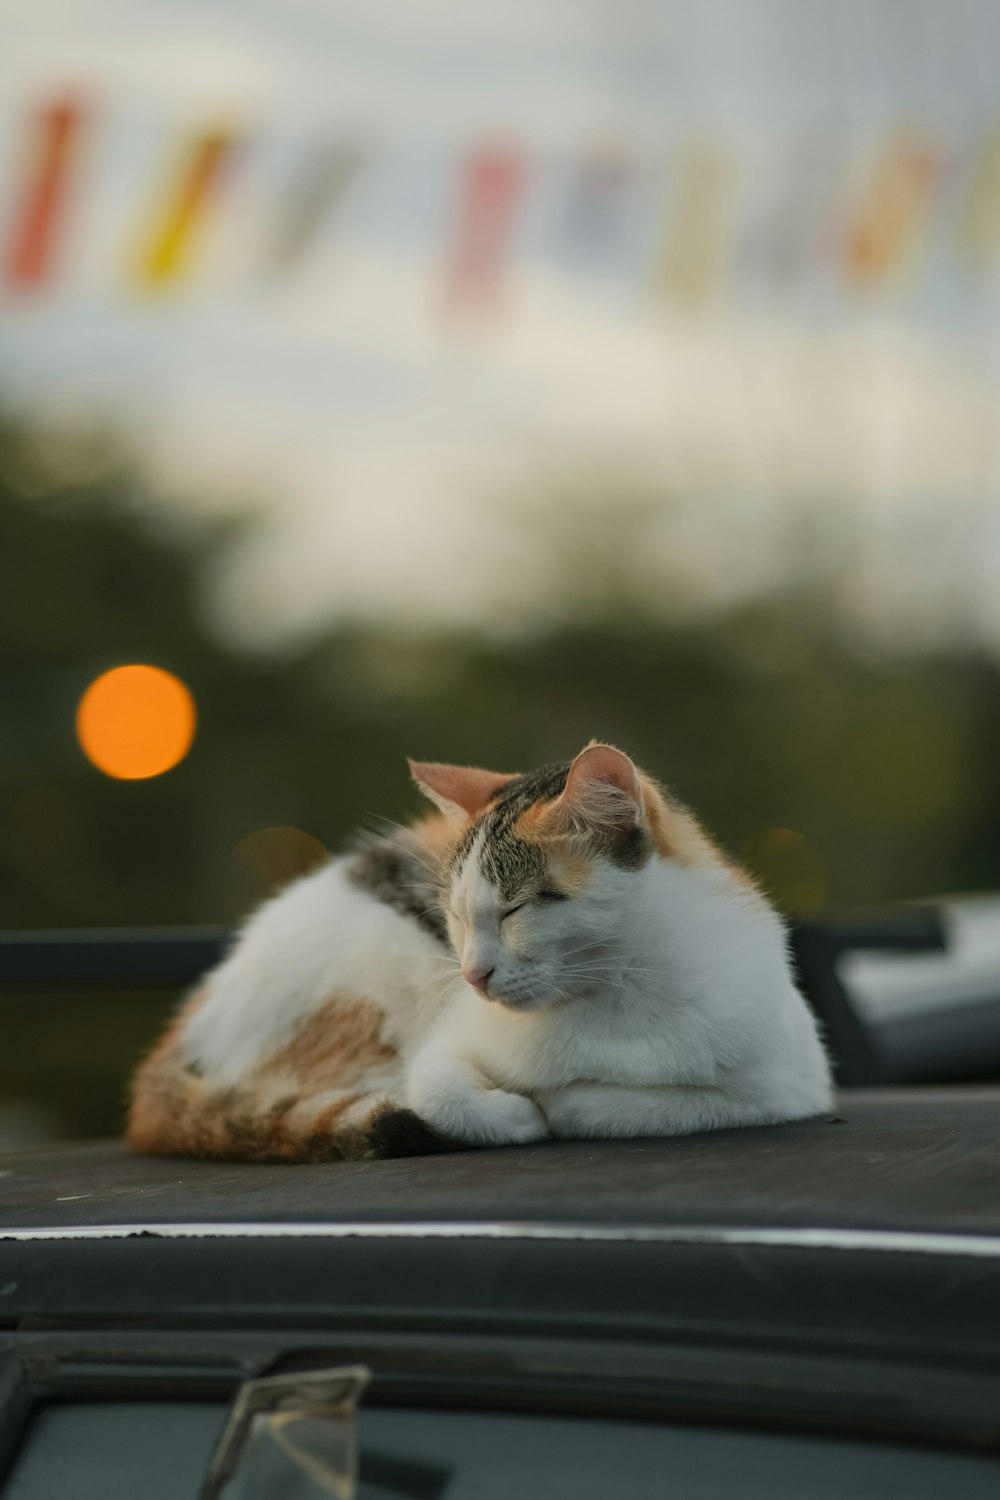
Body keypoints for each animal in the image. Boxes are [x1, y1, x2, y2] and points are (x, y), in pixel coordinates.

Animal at [128, 741, 833, 1158]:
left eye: (517, 908)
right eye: (456, 917)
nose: (472, 975)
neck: (610, 991)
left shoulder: (788, 1084)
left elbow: (606, 1104)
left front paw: (560, 1102)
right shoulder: (445, 1046)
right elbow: (444, 1092)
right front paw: (516, 1114)